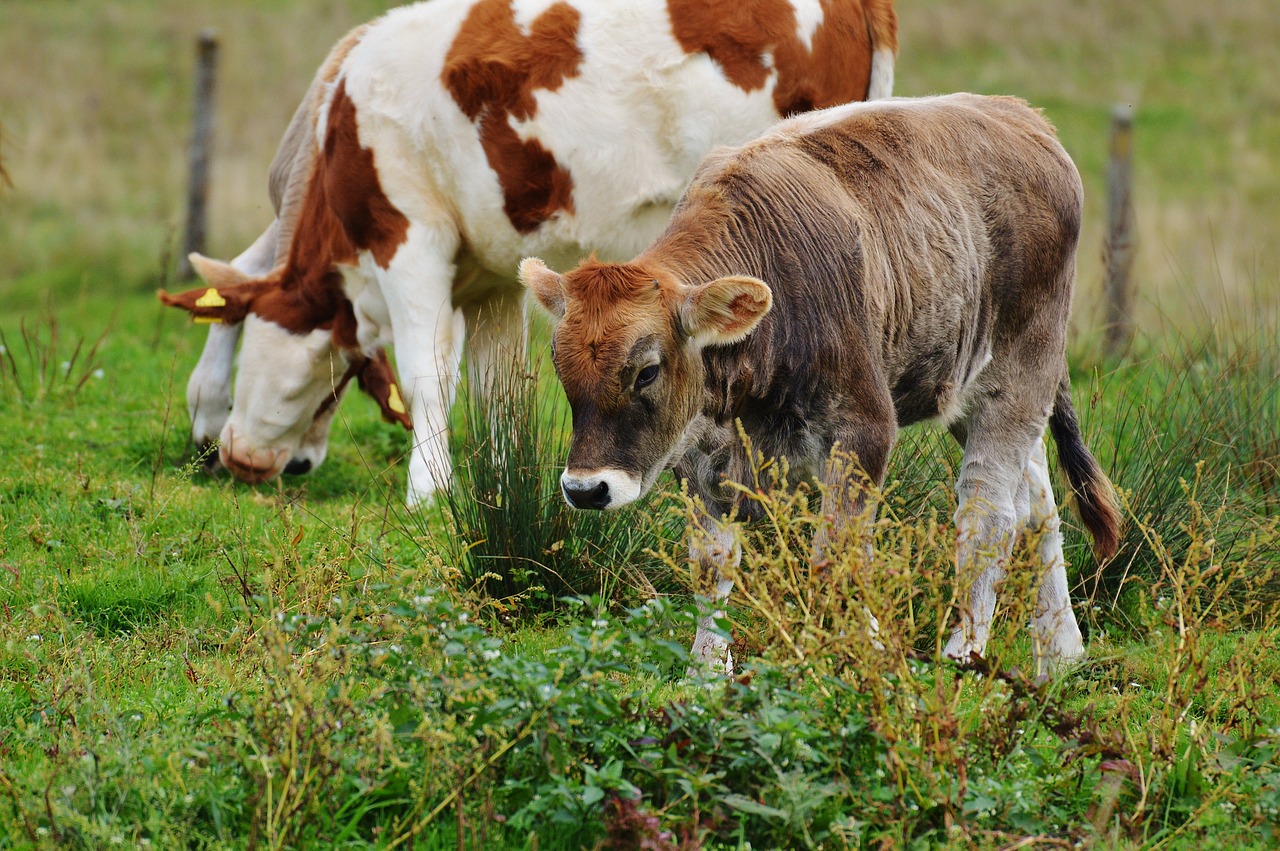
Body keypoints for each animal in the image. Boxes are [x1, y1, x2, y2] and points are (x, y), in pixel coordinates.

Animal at [162, 0, 901, 504]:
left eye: (251, 344)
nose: (243, 460)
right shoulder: (492, 277)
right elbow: (497, 392)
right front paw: (497, 483)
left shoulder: (408, 238)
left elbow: (428, 374)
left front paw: (427, 492)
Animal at [519, 92, 1121, 675]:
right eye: (560, 366)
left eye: (647, 370)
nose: (586, 490)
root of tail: (1021, 115)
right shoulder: (697, 455)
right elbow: (711, 566)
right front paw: (705, 672)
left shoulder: (864, 429)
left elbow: (837, 558)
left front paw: (863, 656)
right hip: (974, 391)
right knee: (1037, 507)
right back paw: (1059, 654)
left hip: (1021, 372)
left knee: (990, 511)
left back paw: (965, 652)